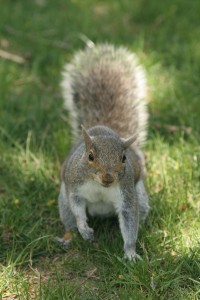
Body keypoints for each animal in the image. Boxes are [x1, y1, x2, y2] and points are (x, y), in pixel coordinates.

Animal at [57, 42, 149, 260]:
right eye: (90, 156)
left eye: (123, 158)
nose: (108, 177)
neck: (100, 186)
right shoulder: (74, 186)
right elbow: (77, 207)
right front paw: (84, 229)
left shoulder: (127, 194)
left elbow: (129, 220)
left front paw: (130, 252)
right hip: (63, 202)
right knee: (69, 219)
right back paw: (69, 237)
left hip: (140, 195)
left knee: (139, 213)